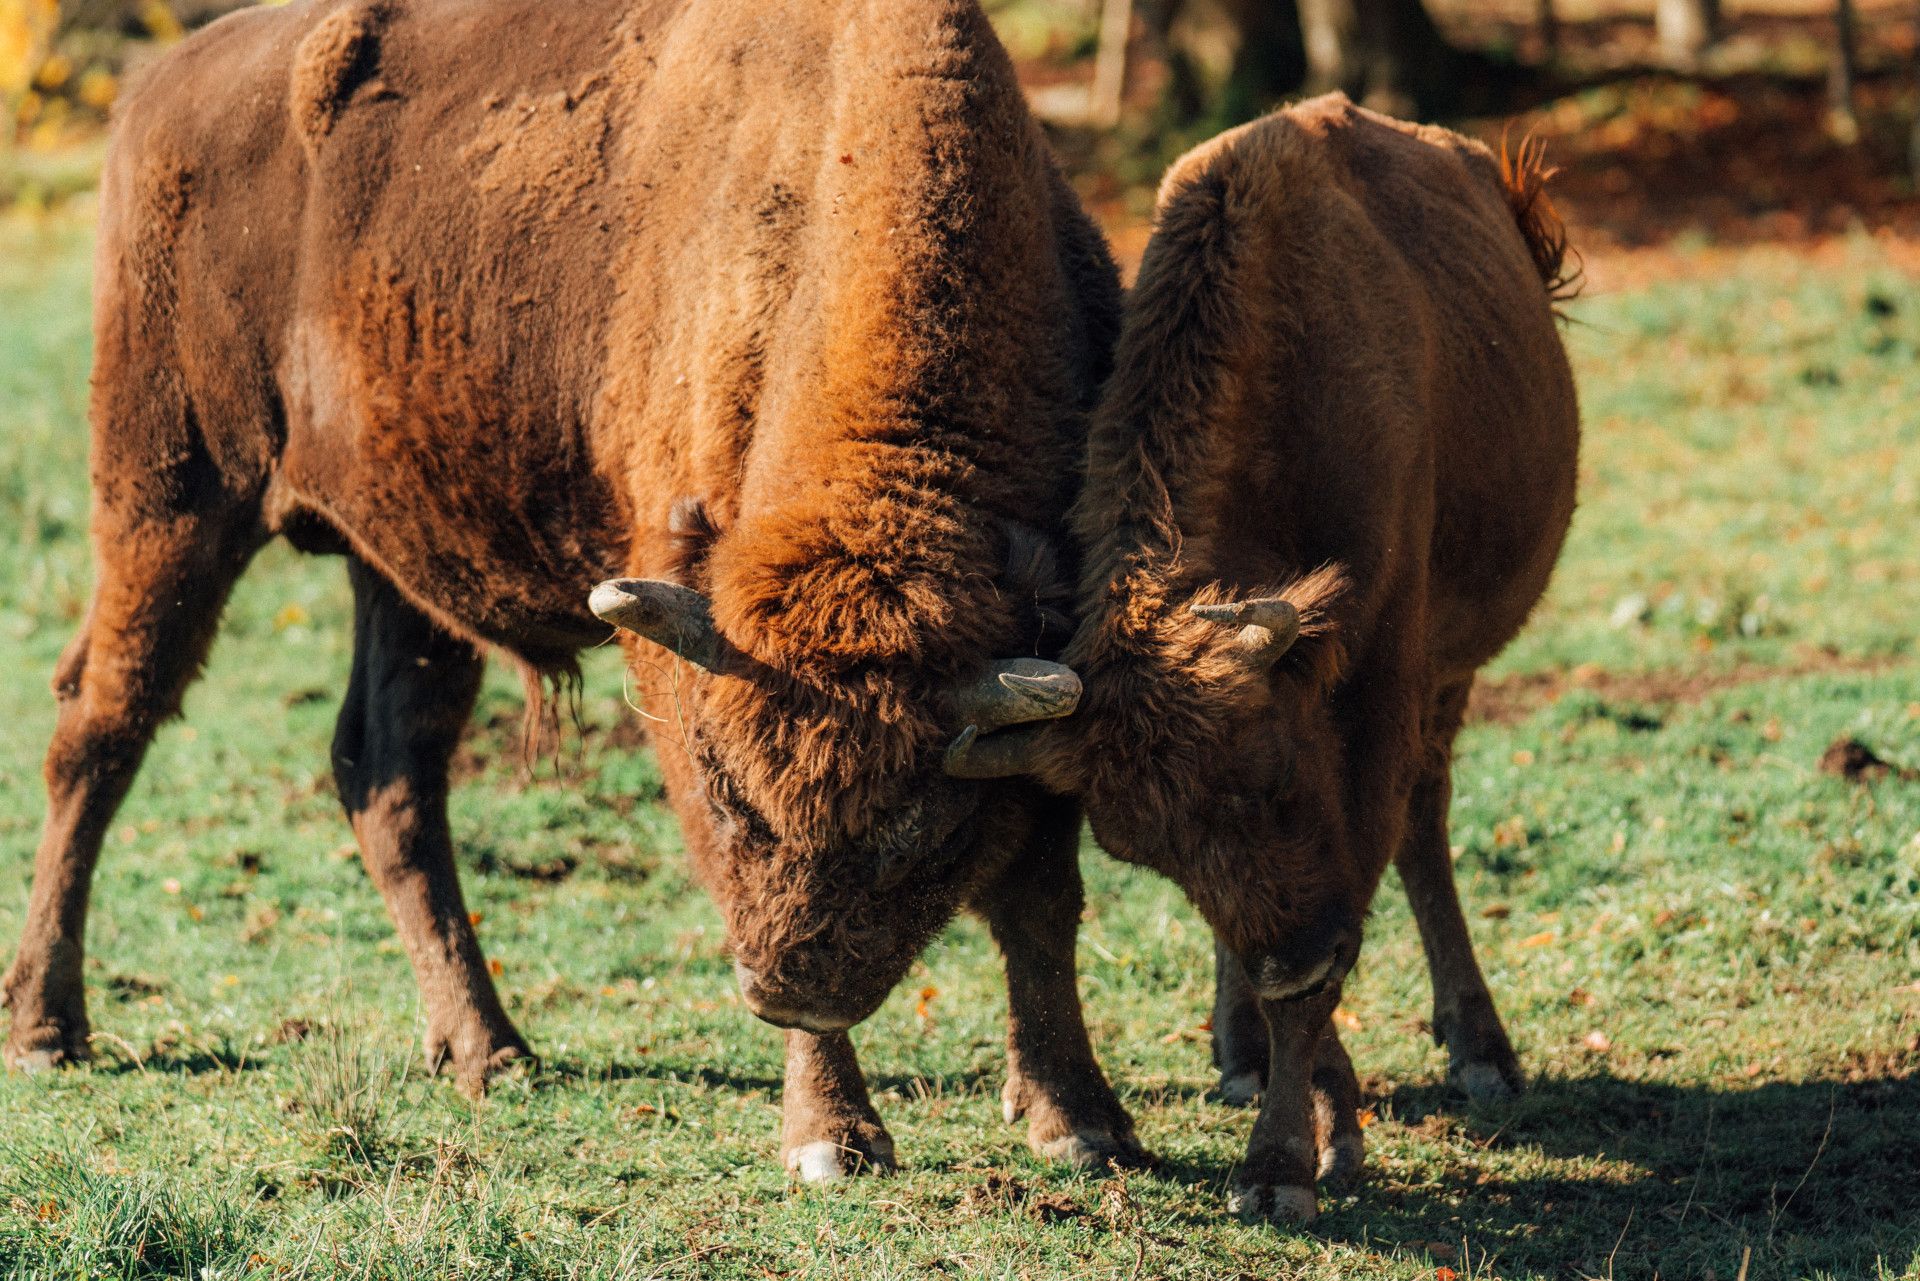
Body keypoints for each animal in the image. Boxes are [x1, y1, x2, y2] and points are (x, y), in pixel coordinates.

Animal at [0, 0, 1145, 1181]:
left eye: (922, 823)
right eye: (734, 804)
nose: (788, 988)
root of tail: (158, 90)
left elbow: (1043, 897)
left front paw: (1078, 1119)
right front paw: (830, 1136)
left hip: (393, 570)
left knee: (387, 774)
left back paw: (488, 1049)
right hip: (170, 499)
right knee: (99, 728)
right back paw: (46, 1027)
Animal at [946, 95, 1580, 1218]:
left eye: (1277, 776)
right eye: (1144, 851)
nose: (1284, 955)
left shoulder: (1378, 706)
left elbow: (1346, 934)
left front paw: (1285, 1162)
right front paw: (1311, 1118)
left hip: (1453, 675)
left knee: (1426, 826)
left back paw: (1480, 1050)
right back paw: (1243, 1046)